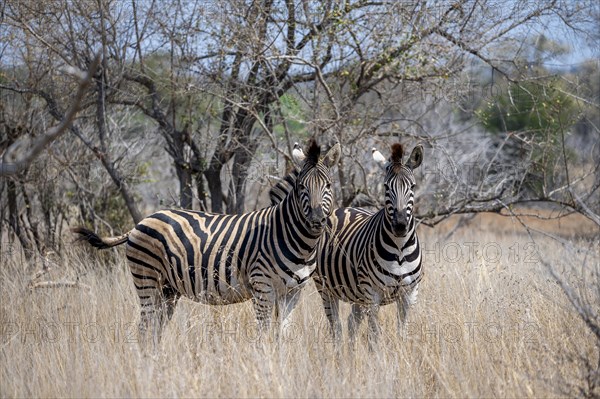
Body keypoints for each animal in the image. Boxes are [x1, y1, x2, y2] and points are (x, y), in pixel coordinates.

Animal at [72, 139, 340, 342]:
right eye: (302, 187)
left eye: (328, 185)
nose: (317, 220)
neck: (294, 238)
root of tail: (141, 222)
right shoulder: (262, 287)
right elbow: (264, 336)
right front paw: (267, 367)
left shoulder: (293, 291)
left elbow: (282, 335)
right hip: (147, 280)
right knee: (144, 330)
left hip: (168, 289)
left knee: (155, 329)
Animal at [270, 143, 424, 346]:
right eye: (386, 187)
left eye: (412, 186)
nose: (399, 226)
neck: (399, 249)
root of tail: (341, 209)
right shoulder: (373, 294)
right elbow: (374, 337)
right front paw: (377, 355)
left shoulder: (409, 294)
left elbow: (402, 334)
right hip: (327, 290)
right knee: (336, 327)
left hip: (357, 294)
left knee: (351, 322)